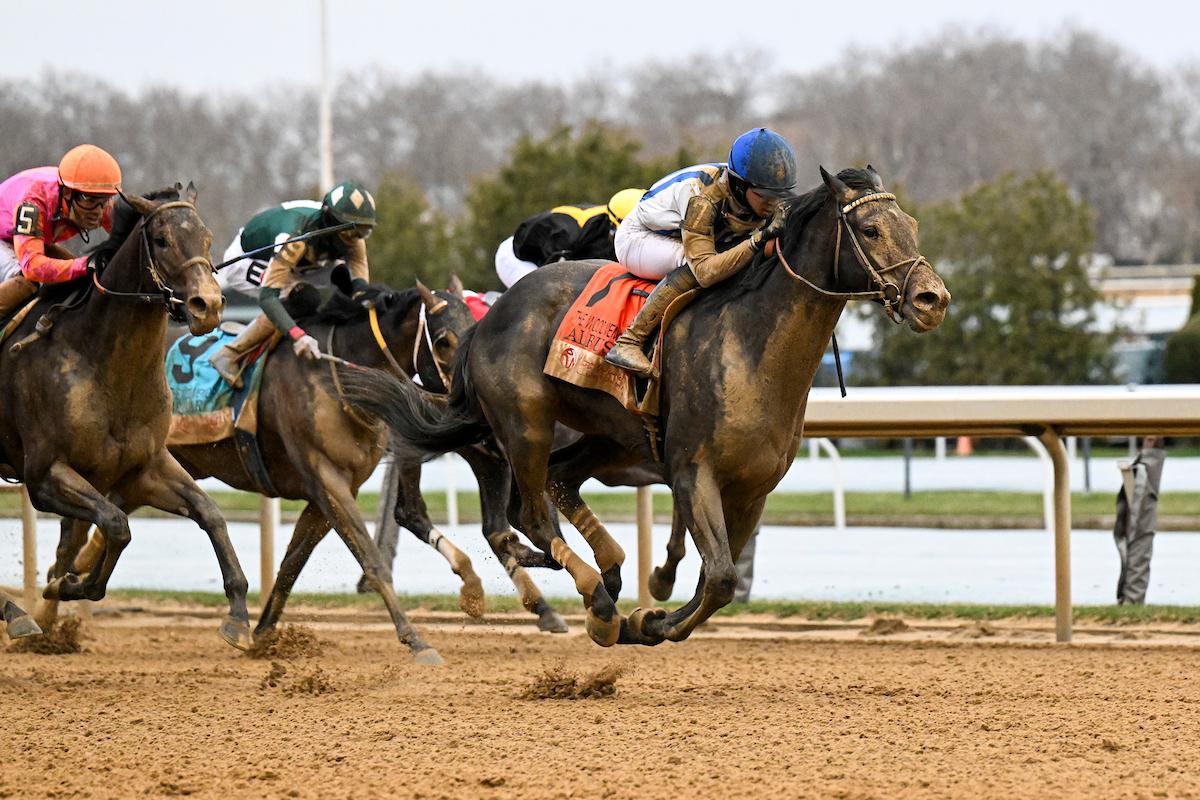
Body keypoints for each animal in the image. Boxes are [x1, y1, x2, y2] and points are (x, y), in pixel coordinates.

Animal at [0, 185, 255, 649]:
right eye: (162, 240)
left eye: (207, 238)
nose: (207, 305)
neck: (103, 363)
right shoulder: (43, 475)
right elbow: (116, 524)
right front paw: (66, 584)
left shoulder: (144, 468)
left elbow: (209, 514)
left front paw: (238, 616)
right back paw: (17, 614)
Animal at [336, 166, 950, 647]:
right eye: (869, 229)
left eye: (914, 226)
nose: (933, 299)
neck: (750, 345)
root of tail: (486, 322)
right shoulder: (691, 470)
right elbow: (719, 576)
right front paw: (648, 617)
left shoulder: (752, 487)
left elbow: (717, 579)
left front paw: (649, 615)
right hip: (524, 425)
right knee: (527, 513)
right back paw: (595, 595)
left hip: (611, 437)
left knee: (553, 487)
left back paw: (606, 577)